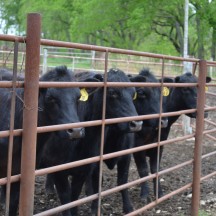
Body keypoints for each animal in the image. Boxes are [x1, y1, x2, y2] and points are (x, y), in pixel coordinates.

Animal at [42, 68, 143, 216]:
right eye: (112, 92)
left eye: (133, 94)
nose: (137, 123)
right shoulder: (59, 168)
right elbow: (68, 198)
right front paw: (95, 209)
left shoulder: (122, 156)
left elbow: (121, 182)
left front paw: (128, 208)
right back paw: (49, 188)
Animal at [134, 70, 212, 203]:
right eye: (185, 89)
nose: (205, 112)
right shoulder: (137, 144)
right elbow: (143, 169)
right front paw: (144, 195)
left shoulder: (160, 142)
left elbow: (155, 168)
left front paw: (159, 193)